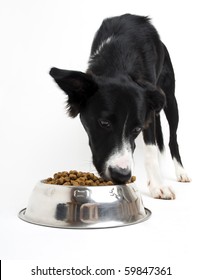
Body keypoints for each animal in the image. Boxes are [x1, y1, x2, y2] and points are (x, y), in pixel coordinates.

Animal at [49, 13, 190, 199]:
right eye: (104, 123)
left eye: (136, 129)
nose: (121, 175)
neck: (119, 62)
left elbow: (151, 148)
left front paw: (158, 185)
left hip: (170, 100)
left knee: (172, 138)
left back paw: (181, 172)